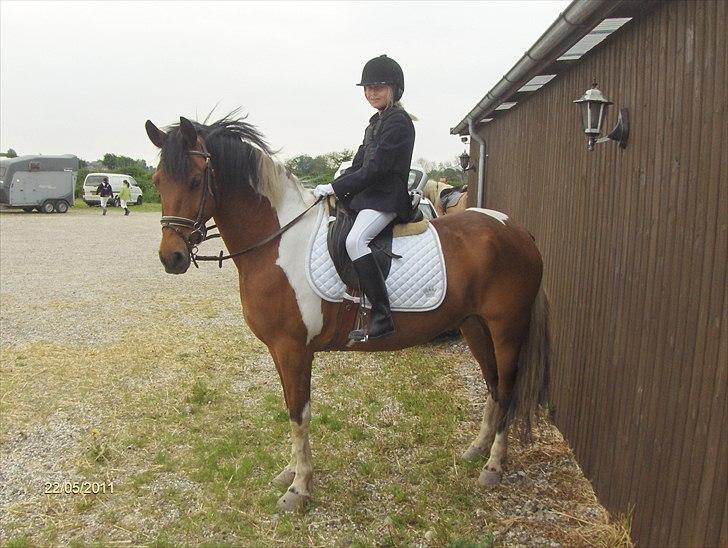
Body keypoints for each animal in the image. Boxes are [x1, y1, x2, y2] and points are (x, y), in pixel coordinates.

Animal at [145, 115, 549, 512]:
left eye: (196, 180)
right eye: (157, 181)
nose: (171, 258)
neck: (279, 242)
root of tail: (517, 230)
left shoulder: (293, 348)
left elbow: (299, 414)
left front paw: (299, 489)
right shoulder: (281, 351)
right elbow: (292, 408)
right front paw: (291, 472)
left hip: (506, 330)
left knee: (507, 389)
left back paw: (494, 466)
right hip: (475, 327)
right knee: (493, 385)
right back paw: (477, 450)